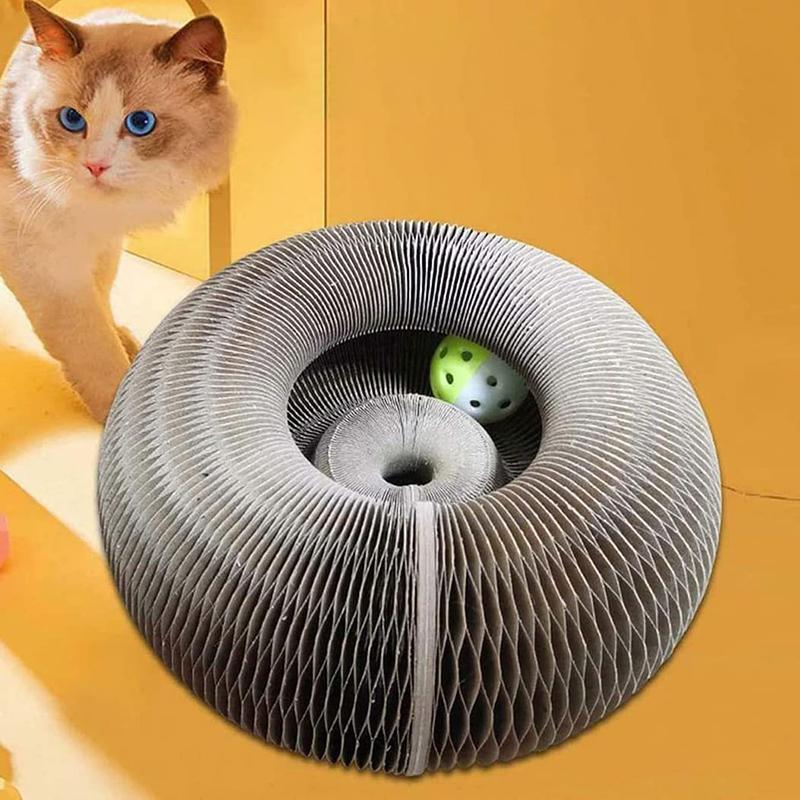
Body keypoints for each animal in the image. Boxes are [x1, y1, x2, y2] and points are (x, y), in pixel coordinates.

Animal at [0, 1, 236, 418]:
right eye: (72, 119)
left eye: (141, 123)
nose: (95, 166)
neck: (95, 215)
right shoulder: (48, 269)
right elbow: (95, 350)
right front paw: (121, 411)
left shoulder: (104, 247)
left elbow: (103, 300)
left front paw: (127, 343)